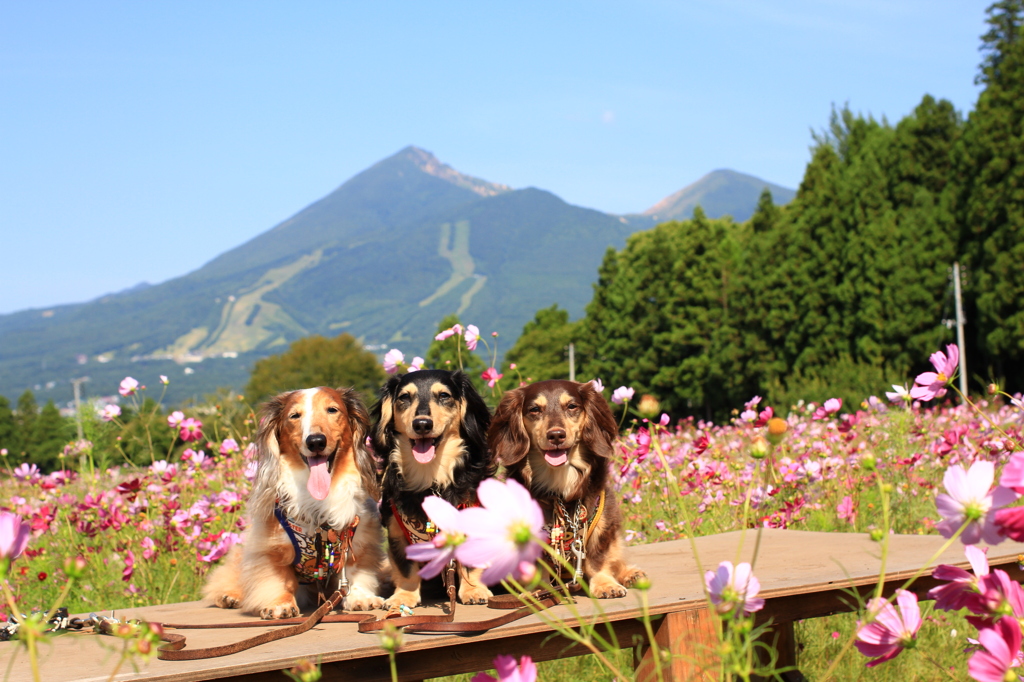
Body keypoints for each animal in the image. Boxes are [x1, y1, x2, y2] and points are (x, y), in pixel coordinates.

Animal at [201, 387, 385, 614]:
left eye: (332, 410)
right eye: (294, 416)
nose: (316, 441)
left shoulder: (356, 538)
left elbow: (354, 572)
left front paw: (360, 597)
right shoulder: (269, 547)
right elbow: (278, 578)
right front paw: (280, 604)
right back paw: (230, 596)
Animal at [370, 368, 497, 606]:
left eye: (444, 396)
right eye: (404, 397)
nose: (422, 424)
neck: (430, 478)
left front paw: (473, 590)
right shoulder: (397, 532)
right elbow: (405, 568)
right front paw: (404, 595)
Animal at [489, 378, 647, 598]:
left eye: (572, 406)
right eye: (535, 409)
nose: (556, 435)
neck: (559, 480)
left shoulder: (602, 521)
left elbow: (597, 559)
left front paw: (605, 584)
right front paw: (537, 591)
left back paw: (629, 574)